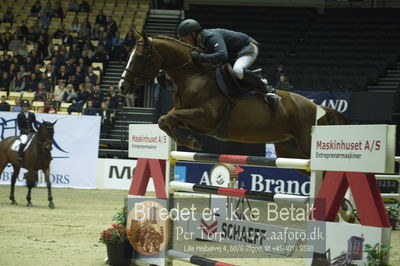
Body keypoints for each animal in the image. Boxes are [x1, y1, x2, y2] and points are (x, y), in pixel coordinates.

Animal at [119, 30, 346, 160]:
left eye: (140, 56)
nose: (122, 86)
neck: (193, 76)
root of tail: (318, 107)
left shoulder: (206, 117)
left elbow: (168, 117)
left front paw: (191, 142)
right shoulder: (189, 116)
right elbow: (164, 120)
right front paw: (190, 140)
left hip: (306, 144)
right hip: (290, 150)